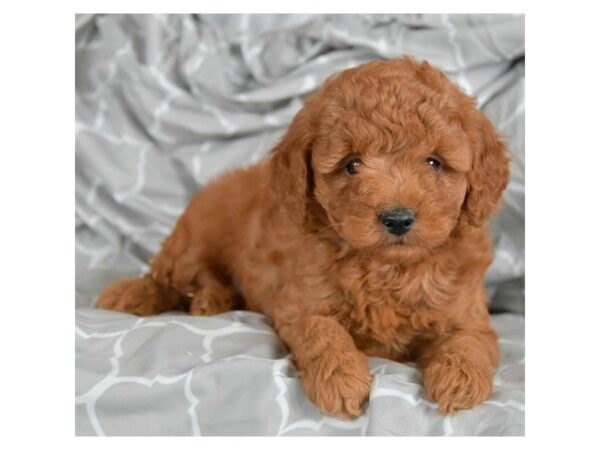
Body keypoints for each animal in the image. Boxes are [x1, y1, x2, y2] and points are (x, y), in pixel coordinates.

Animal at [98, 57, 510, 418]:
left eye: (434, 162)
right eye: (352, 165)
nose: (397, 219)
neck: (387, 269)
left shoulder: (468, 313)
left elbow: (469, 341)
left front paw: (459, 378)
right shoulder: (300, 304)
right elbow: (322, 331)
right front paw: (341, 379)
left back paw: (212, 299)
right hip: (194, 237)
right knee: (167, 276)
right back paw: (133, 294)